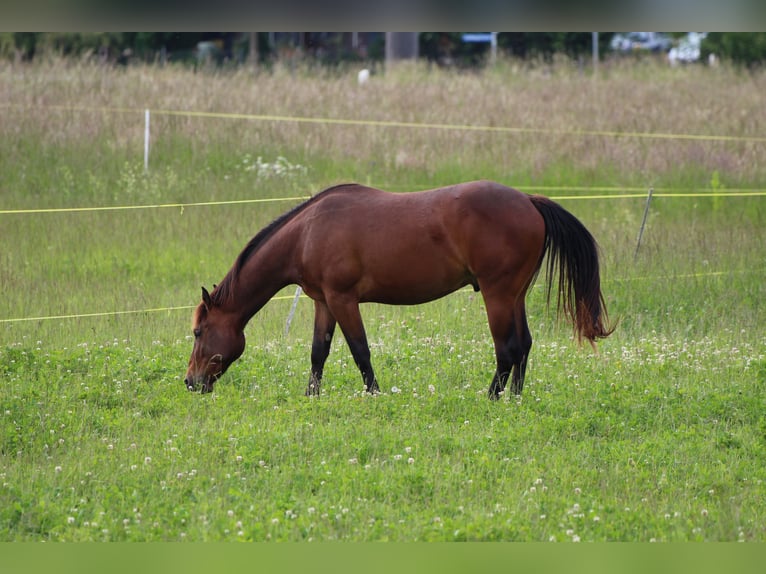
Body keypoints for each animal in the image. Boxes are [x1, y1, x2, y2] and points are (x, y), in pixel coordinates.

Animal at [183, 180, 616, 400]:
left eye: (199, 332)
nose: (190, 381)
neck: (308, 232)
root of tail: (527, 199)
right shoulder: (323, 301)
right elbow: (319, 352)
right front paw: (311, 397)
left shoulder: (343, 299)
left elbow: (360, 352)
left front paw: (375, 396)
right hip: (515, 296)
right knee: (523, 345)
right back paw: (515, 400)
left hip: (498, 295)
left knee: (507, 348)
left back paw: (491, 398)